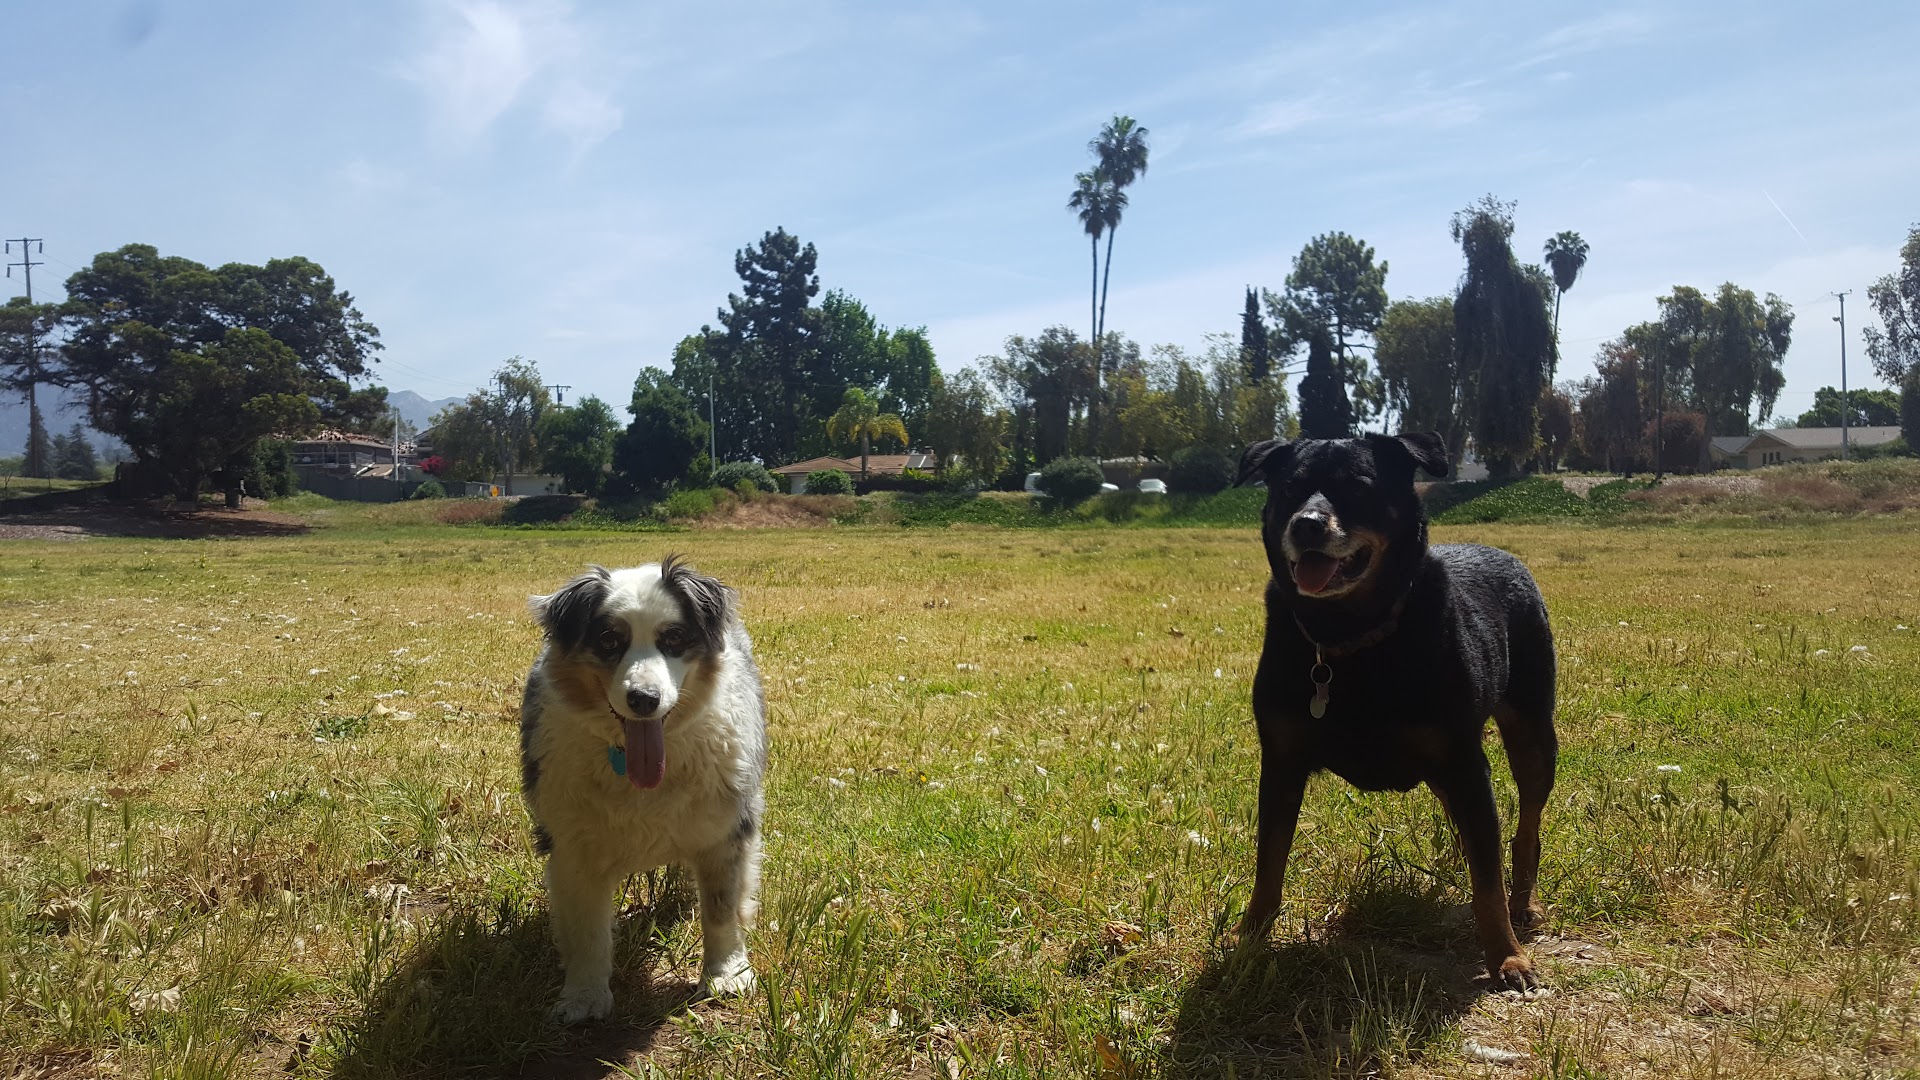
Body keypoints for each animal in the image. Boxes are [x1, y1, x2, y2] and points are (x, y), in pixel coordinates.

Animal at [520, 556, 767, 1023]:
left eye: (673, 638)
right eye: (609, 640)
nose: (644, 699)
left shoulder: (725, 828)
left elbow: (722, 908)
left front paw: (725, 974)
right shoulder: (572, 845)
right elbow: (587, 929)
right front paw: (584, 996)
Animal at [1233, 432, 1557, 992]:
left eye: (1359, 486)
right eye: (1290, 487)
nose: (1307, 524)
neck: (1349, 637)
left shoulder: (1464, 762)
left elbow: (1488, 881)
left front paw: (1507, 956)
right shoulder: (1280, 762)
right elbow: (1268, 862)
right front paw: (1251, 937)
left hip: (1533, 735)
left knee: (1525, 827)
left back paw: (1525, 902)